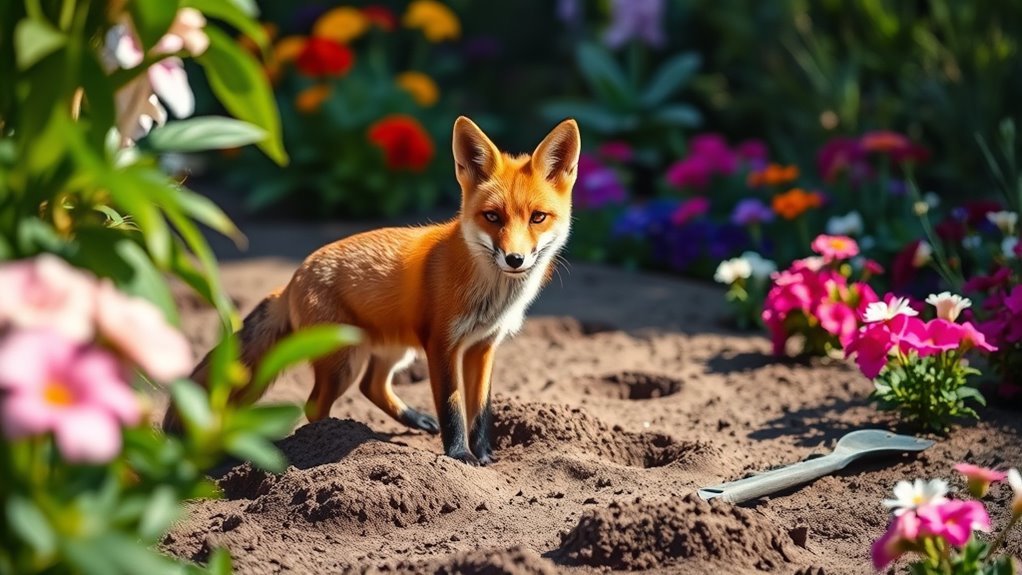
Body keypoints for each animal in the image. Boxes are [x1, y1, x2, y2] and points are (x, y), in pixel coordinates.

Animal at [164, 116, 580, 465]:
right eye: (492, 217)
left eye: (537, 218)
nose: (515, 259)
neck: (491, 294)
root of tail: (292, 279)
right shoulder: (441, 345)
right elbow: (452, 407)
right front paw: (460, 457)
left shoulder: (482, 346)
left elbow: (480, 412)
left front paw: (485, 457)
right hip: (344, 359)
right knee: (316, 406)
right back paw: (328, 440)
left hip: (393, 349)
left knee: (372, 386)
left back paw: (411, 420)